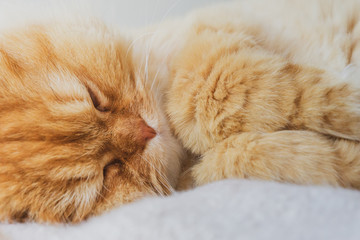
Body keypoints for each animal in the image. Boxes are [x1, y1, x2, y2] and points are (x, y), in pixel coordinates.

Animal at [0, 0, 360, 223]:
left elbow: (199, 101)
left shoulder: (221, 25)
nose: (147, 131)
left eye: (94, 98)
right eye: (106, 173)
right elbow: (243, 154)